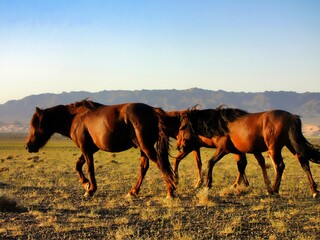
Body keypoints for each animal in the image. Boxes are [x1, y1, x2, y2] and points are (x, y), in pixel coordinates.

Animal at [25, 100, 176, 198]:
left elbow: (89, 168)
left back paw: (170, 191)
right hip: (142, 148)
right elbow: (78, 165)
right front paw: (86, 184)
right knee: (144, 167)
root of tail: (152, 110)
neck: (77, 118)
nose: (28, 146)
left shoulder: (86, 149)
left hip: (146, 146)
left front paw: (90, 189)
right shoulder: (90, 149)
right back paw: (133, 191)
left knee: (160, 165)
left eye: (35, 126)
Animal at [178, 108, 320, 198]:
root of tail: (292, 117)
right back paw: (314, 190)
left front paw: (208, 184)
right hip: (292, 146)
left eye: (182, 127)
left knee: (280, 166)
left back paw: (274, 190)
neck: (221, 125)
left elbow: (211, 162)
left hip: (274, 148)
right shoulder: (239, 152)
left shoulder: (223, 149)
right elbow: (241, 167)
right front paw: (239, 185)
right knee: (304, 163)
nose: (179, 146)